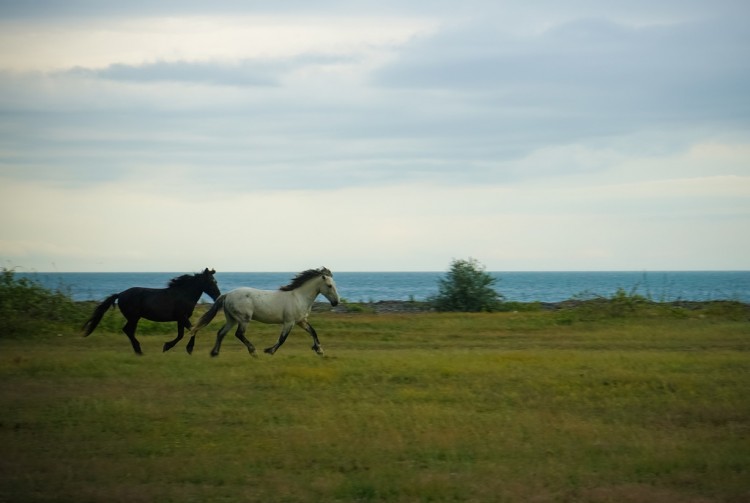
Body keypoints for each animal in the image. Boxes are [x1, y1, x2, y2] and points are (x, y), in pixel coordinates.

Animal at [85, 268, 222, 354]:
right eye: (211, 281)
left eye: (215, 281)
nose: (218, 296)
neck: (184, 294)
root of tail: (120, 294)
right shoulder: (182, 317)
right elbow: (193, 331)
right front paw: (188, 349)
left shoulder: (180, 319)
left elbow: (181, 334)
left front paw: (167, 346)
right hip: (134, 317)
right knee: (128, 330)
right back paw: (139, 350)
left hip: (134, 318)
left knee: (128, 331)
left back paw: (138, 350)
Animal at [187, 268, 342, 358]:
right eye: (329, 285)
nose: (336, 302)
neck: (299, 297)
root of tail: (227, 295)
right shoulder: (289, 322)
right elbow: (282, 339)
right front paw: (269, 351)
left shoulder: (300, 321)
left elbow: (313, 332)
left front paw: (320, 350)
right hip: (244, 319)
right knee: (239, 334)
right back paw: (253, 351)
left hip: (232, 319)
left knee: (221, 333)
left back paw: (214, 353)